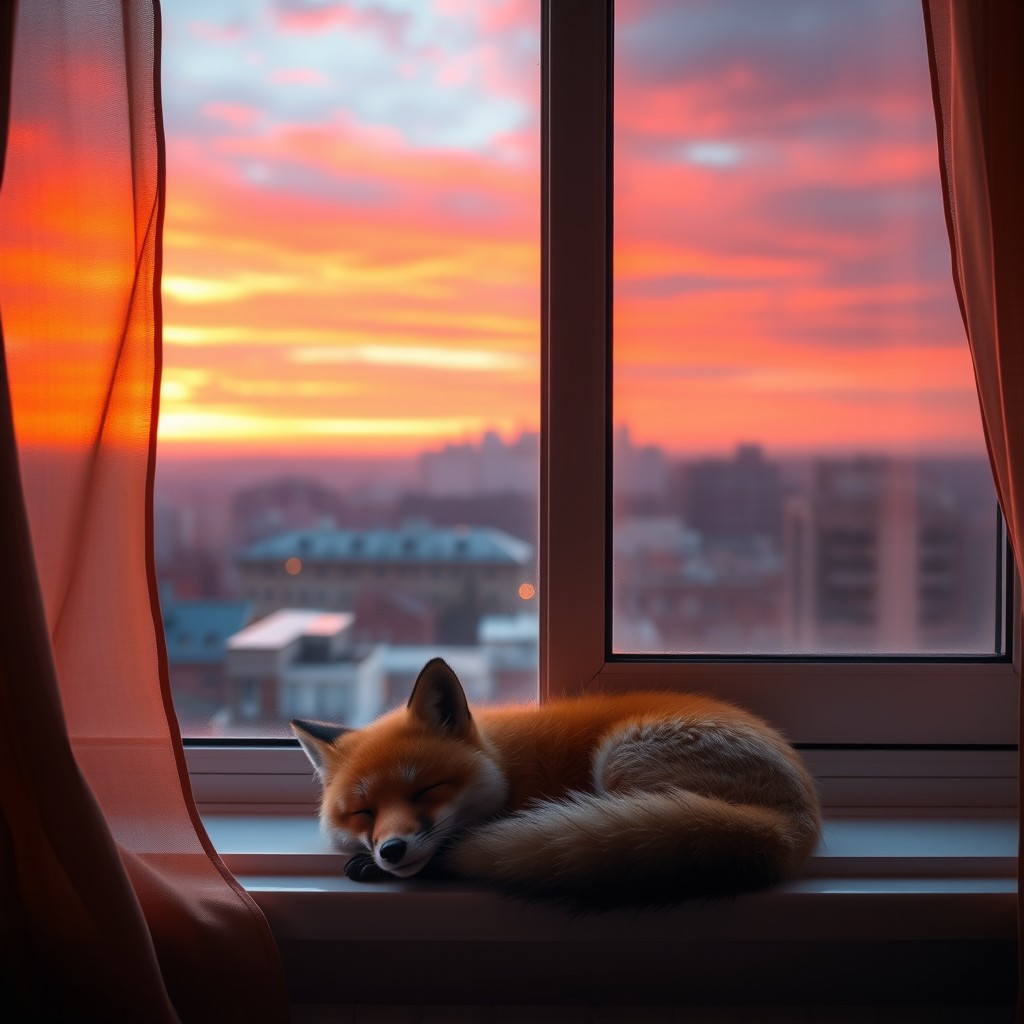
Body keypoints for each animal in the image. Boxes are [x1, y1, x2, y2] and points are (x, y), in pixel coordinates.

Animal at [291, 657, 821, 910]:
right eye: (363, 813)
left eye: (425, 790)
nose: (392, 850)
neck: (506, 766)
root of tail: (795, 822)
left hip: (620, 758)